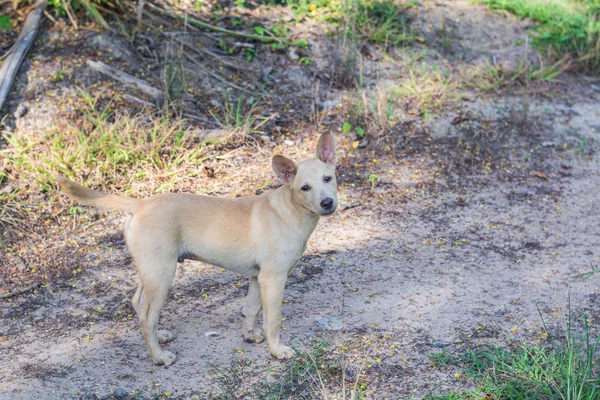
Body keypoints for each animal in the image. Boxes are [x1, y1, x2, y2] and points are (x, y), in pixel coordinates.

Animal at [56, 134, 338, 366]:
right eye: (304, 188)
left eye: (328, 178)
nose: (327, 202)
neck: (290, 210)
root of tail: (140, 204)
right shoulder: (274, 278)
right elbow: (274, 320)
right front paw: (277, 350)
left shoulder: (257, 277)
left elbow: (250, 309)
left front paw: (249, 336)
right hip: (162, 274)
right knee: (147, 316)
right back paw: (159, 357)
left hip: (150, 271)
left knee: (138, 304)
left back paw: (160, 336)